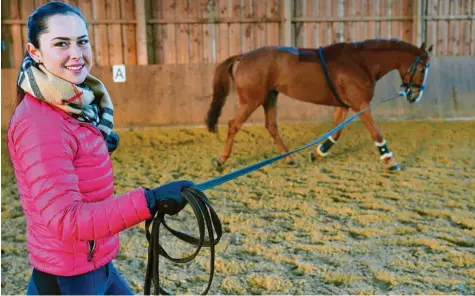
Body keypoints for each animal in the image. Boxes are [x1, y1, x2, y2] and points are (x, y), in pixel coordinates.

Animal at [206, 38, 434, 170]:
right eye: (423, 68)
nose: (415, 95)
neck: (360, 61)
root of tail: (243, 57)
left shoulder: (344, 106)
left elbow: (336, 133)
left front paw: (318, 153)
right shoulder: (360, 105)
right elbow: (375, 133)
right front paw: (389, 160)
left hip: (269, 96)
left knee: (271, 127)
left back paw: (290, 159)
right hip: (252, 99)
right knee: (234, 125)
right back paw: (220, 160)